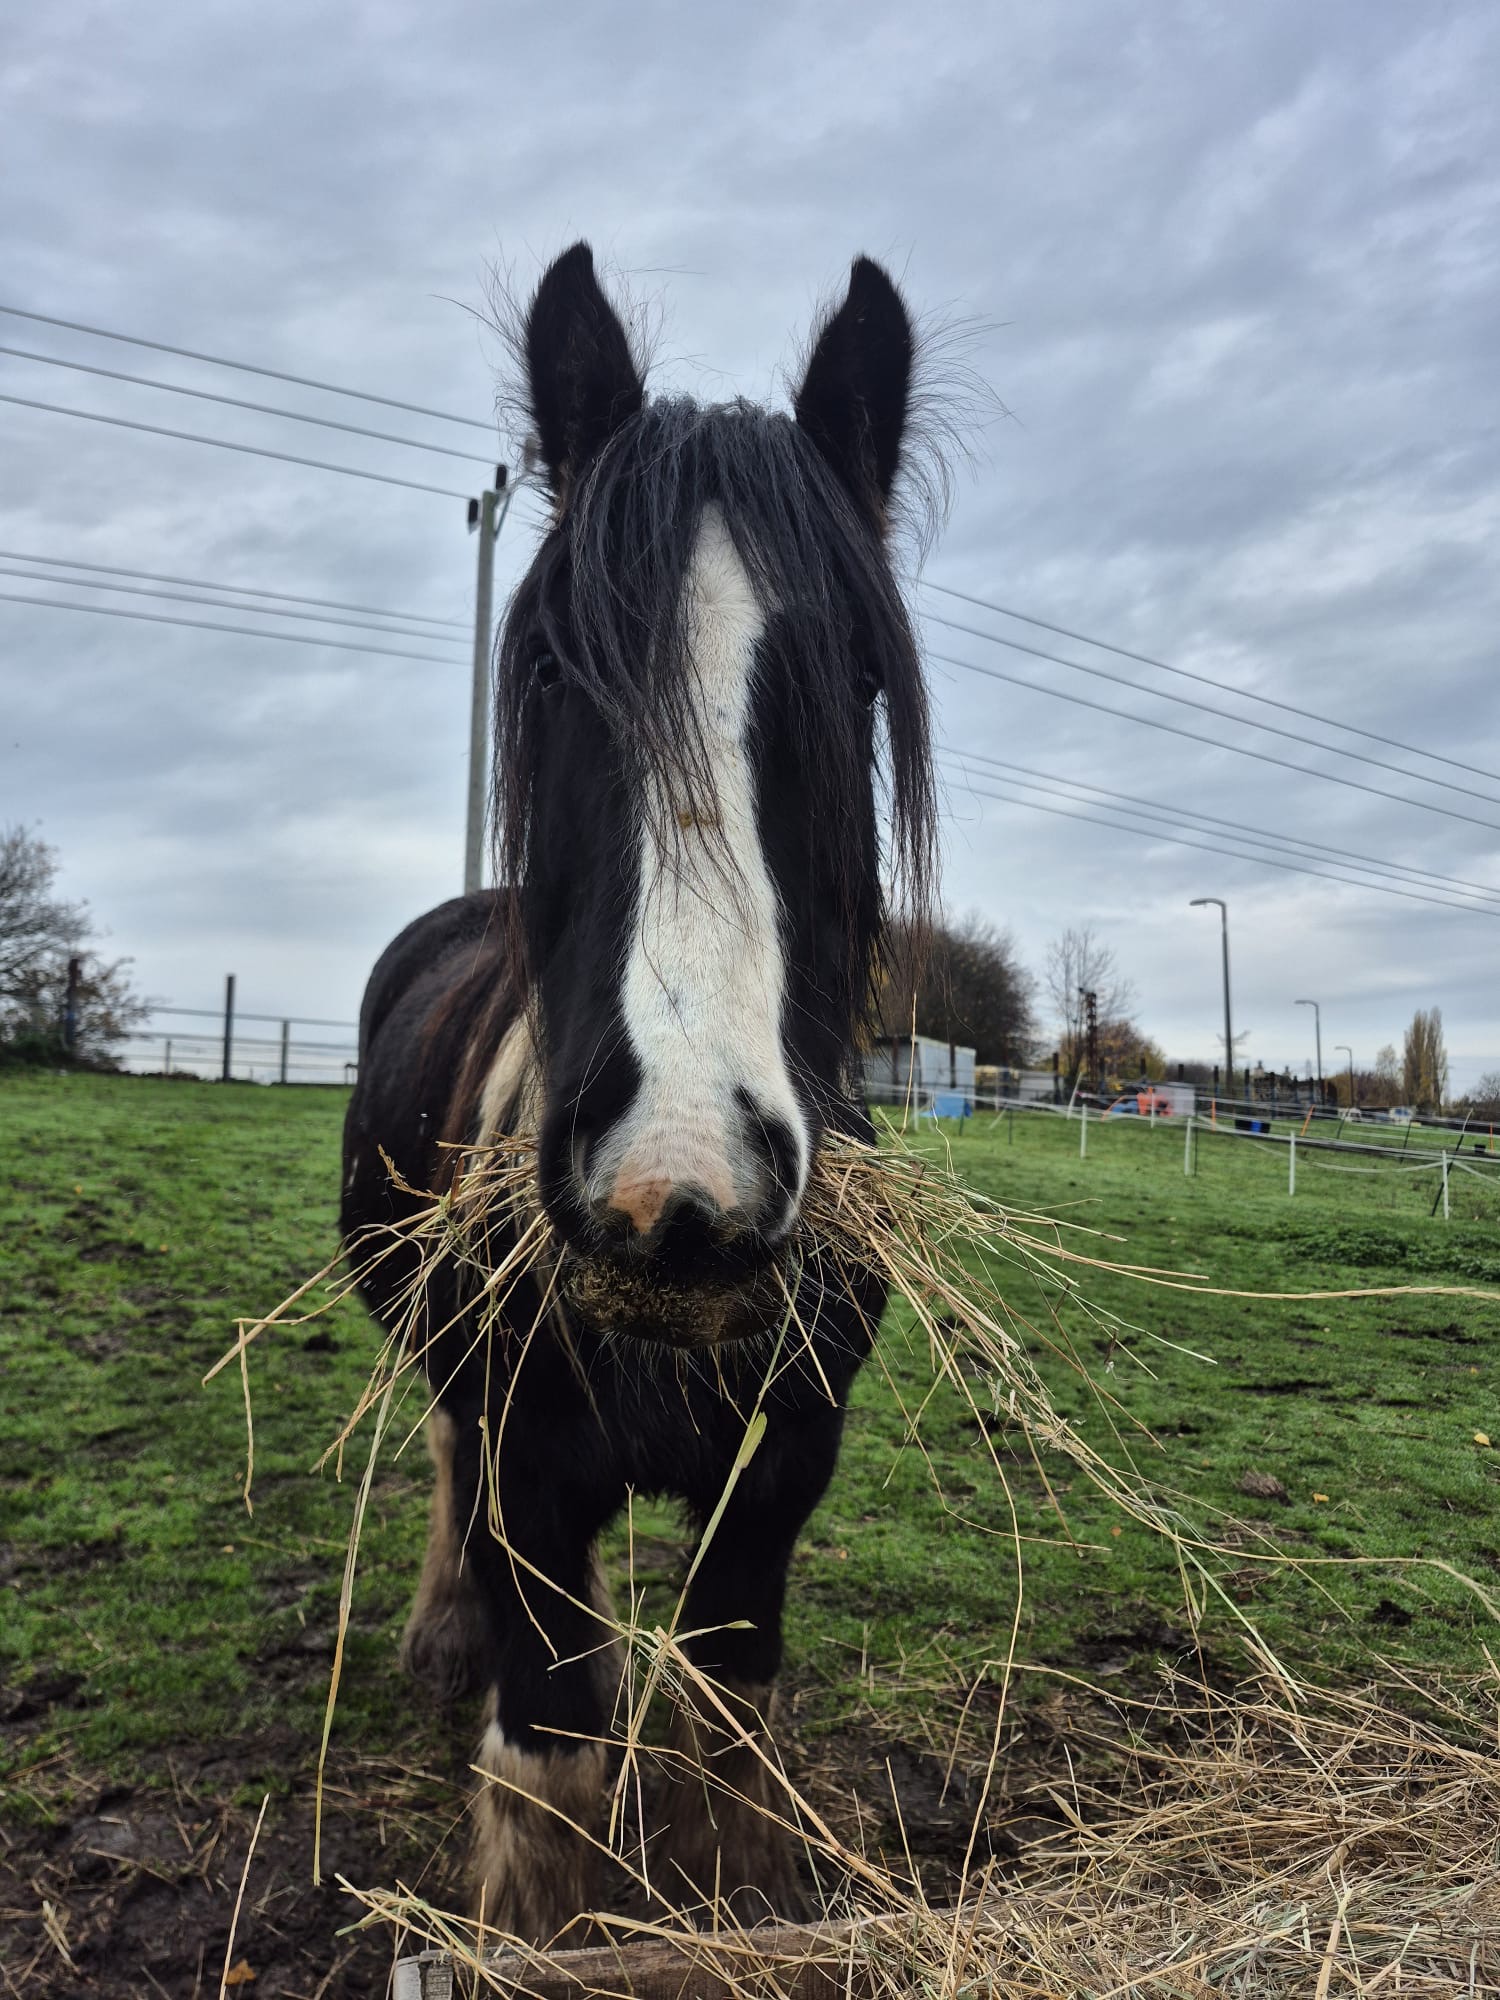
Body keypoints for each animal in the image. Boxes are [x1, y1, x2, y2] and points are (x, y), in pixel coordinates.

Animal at [340, 241, 936, 1942]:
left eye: (853, 679)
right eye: (548, 666)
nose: (678, 1188)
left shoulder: (782, 1469)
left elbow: (727, 1727)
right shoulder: (528, 1461)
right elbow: (548, 1758)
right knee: (445, 1460)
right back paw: (445, 1632)